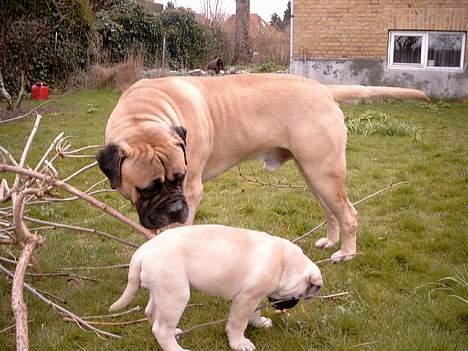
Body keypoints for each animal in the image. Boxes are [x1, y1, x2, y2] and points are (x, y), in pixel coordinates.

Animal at [109, 226, 322, 351]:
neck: (284, 264)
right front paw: (239, 343)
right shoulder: (245, 299)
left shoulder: (255, 296)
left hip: (162, 290)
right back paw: (176, 349)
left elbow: (255, 311)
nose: (283, 307)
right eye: (296, 297)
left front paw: (259, 322)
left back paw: (174, 332)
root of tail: (144, 250)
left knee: (152, 315)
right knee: (161, 329)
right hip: (176, 295)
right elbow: (238, 323)